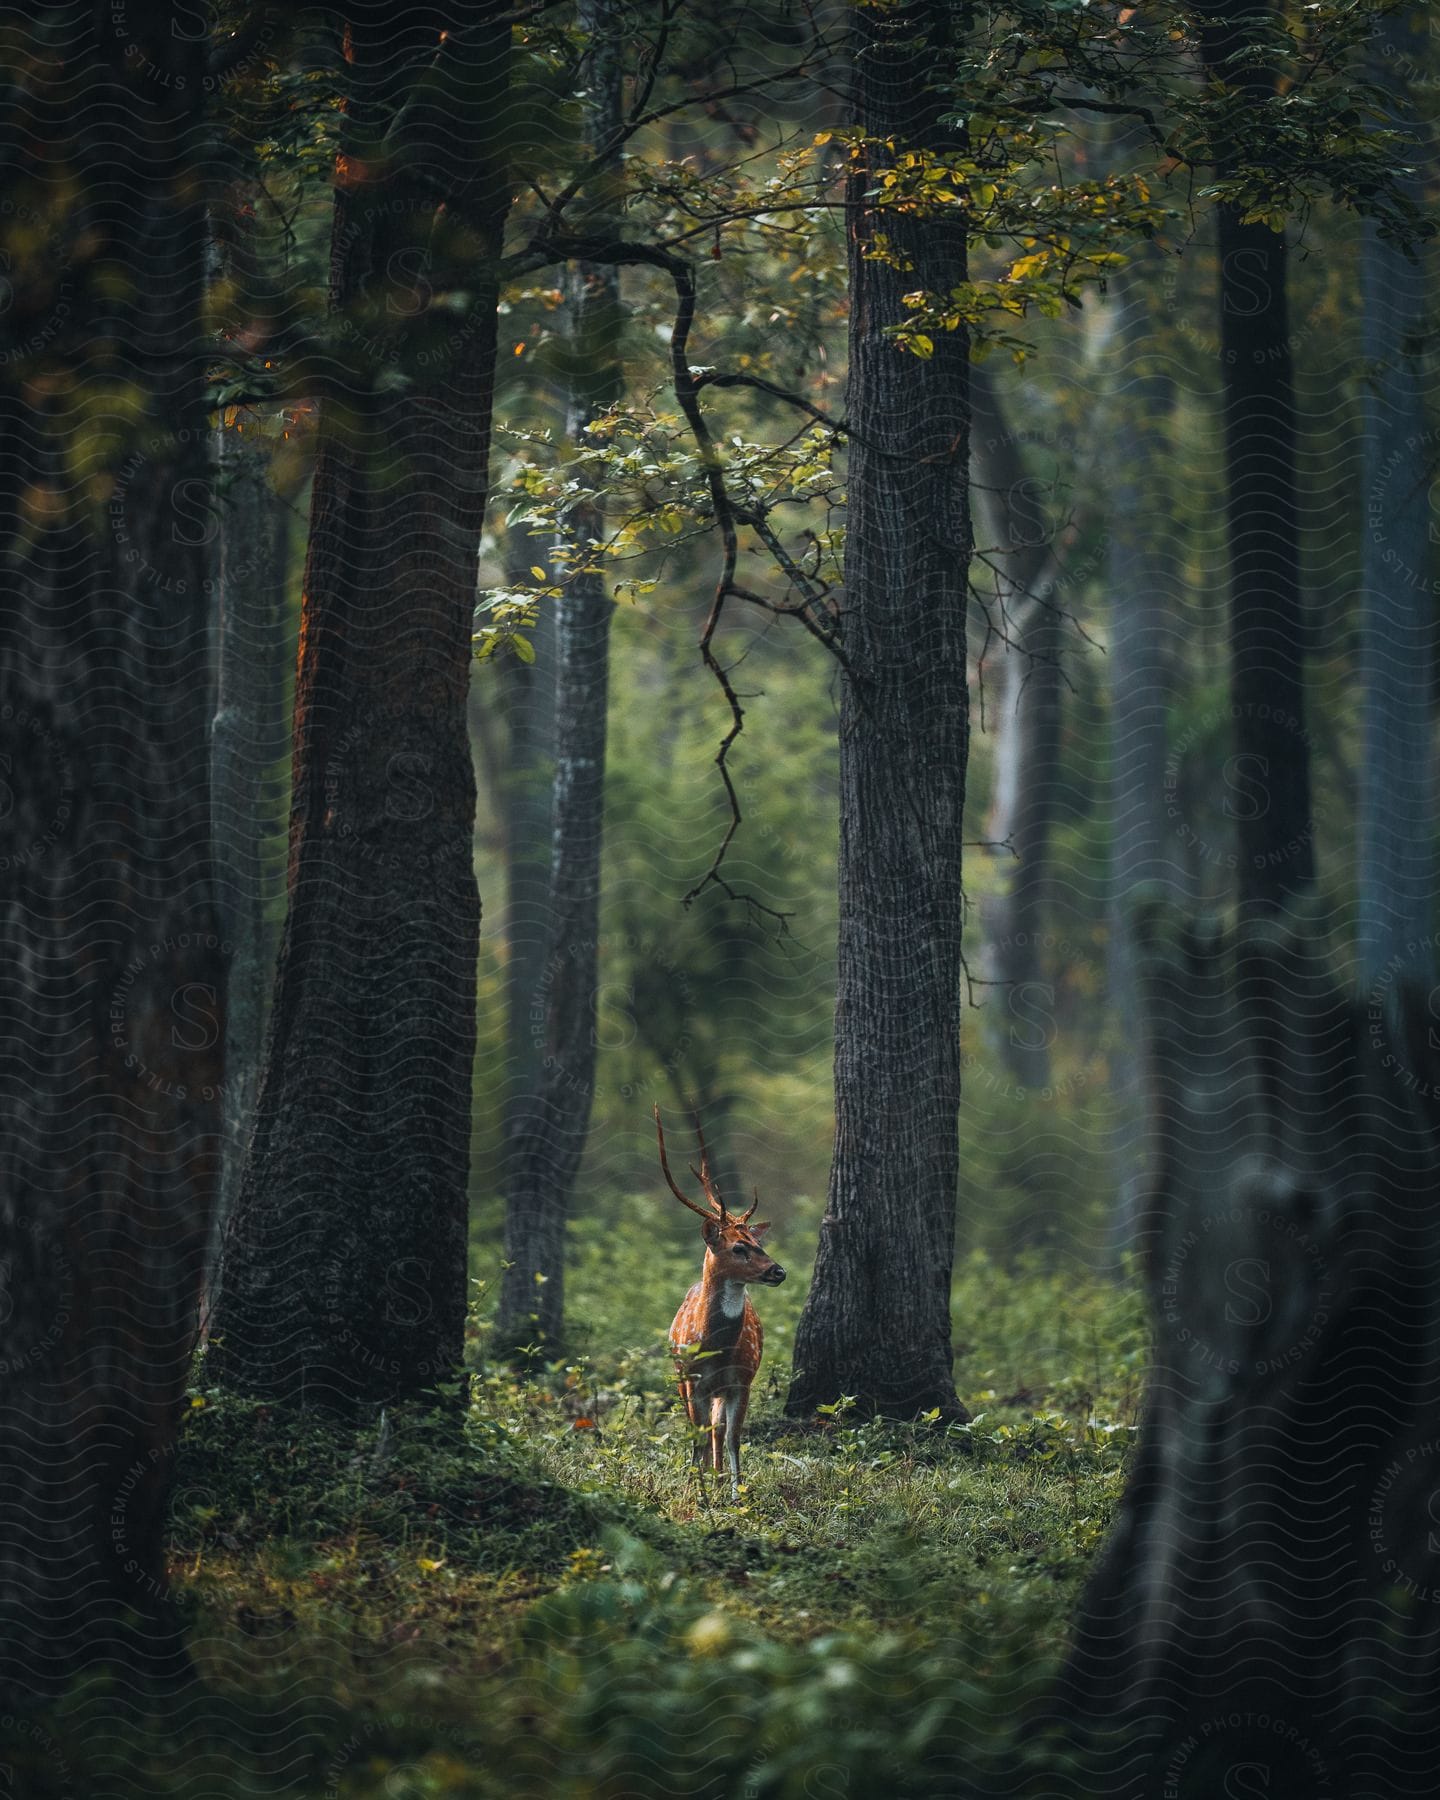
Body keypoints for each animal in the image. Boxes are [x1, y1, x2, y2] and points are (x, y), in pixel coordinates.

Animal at [655, 1101, 788, 1497]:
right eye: (738, 1247)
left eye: (759, 1243)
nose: (778, 1271)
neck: (715, 1349)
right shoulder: (692, 1380)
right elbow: (696, 1436)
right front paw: (697, 1494)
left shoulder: (741, 1379)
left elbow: (732, 1438)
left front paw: (736, 1494)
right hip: (681, 1378)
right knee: (701, 1430)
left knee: (717, 1430)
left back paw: (716, 1479)